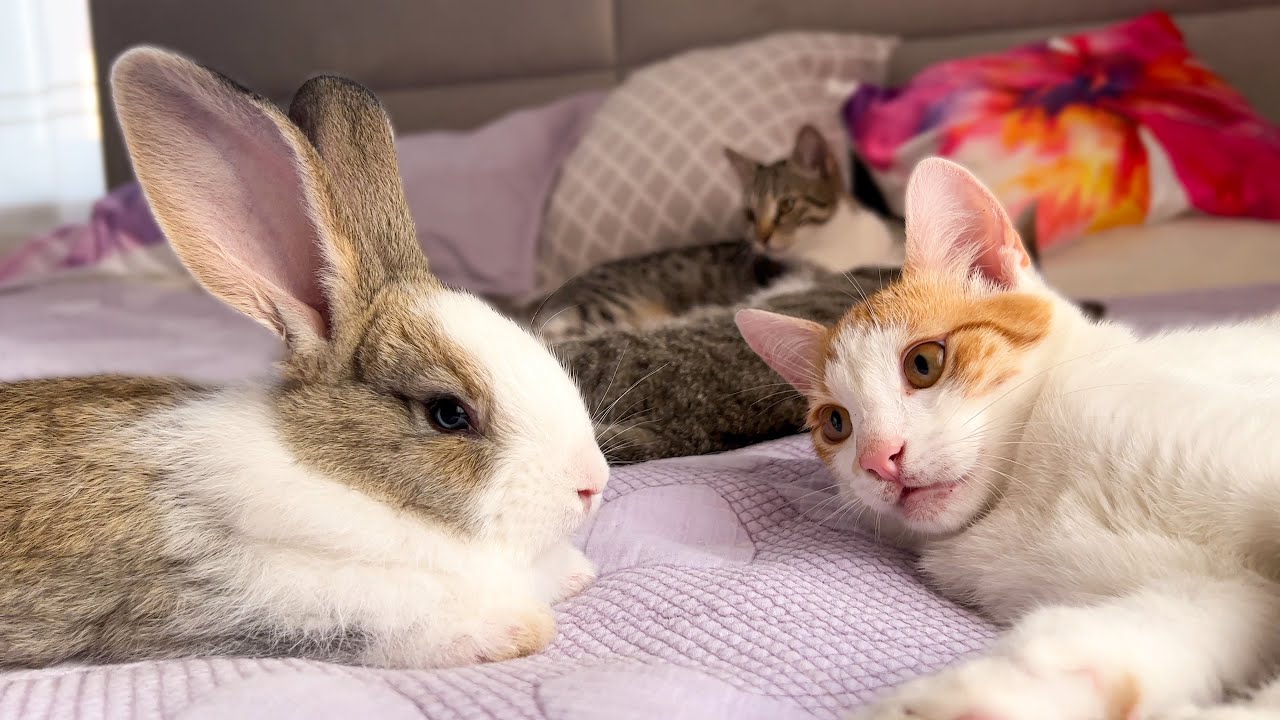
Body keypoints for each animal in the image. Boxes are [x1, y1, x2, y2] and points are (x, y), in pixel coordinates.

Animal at [0, 46, 609, 670]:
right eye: (448, 413)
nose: (594, 484)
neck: (337, 477)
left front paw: (574, 571)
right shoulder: (241, 600)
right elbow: (389, 622)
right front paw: (516, 627)